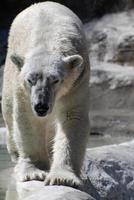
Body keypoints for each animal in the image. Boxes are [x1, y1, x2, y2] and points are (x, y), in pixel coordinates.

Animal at [1, 1, 90, 188]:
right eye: (30, 79)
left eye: (55, 80)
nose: (41, 106)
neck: (47, 40)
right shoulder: (22, 88)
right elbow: (28, 119)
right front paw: (34, 172)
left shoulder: (77, 80)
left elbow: (72, 117)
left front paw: (63, 177)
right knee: (8, 108)